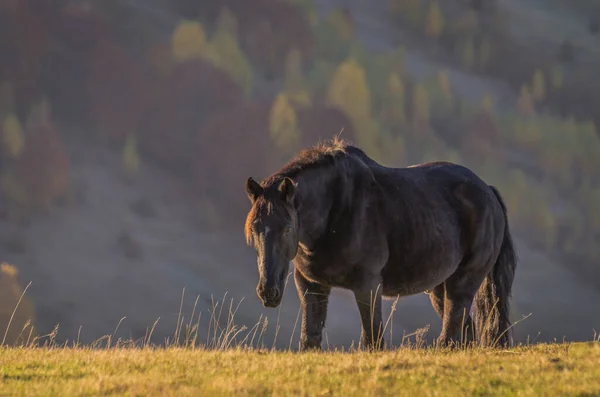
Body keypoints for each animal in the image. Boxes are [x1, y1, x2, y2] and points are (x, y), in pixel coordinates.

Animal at [244, 138, 516, 350]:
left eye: (288, 228)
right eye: (254, 229)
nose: (268, 292)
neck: (335, 210)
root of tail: (488, 191)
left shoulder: (367, 285)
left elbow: (372, 339)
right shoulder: (310, 285)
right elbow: (310, 339)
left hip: (464, 280)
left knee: (451, 331)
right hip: (441, 287)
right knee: (464, 331)